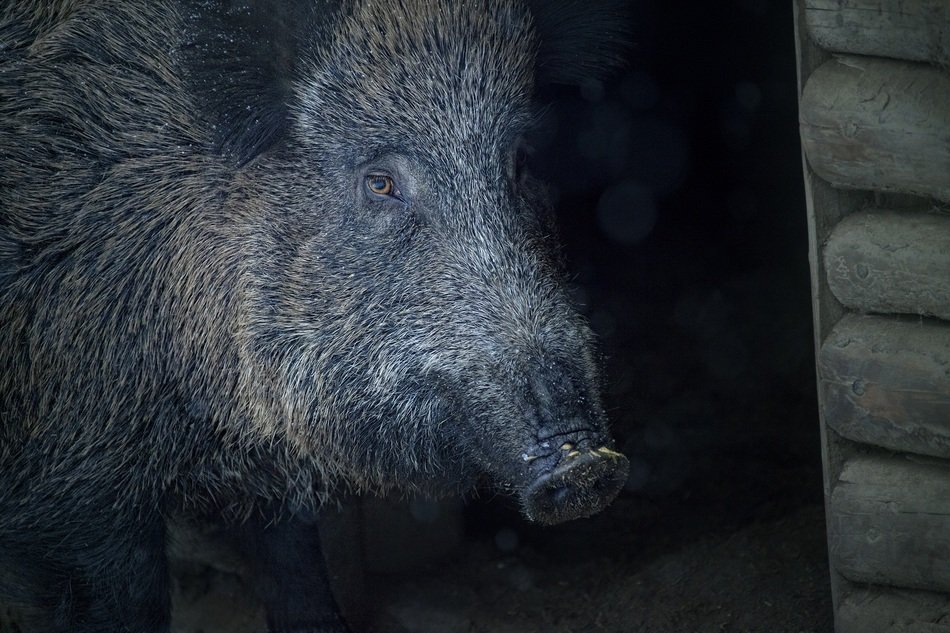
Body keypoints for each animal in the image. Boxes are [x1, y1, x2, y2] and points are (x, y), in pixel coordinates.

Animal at [0, 0, 630, 631]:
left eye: (520, 162)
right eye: (380, 182)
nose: (586, 467)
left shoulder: (270, 481)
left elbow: (302, 581)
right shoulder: (73, 494)